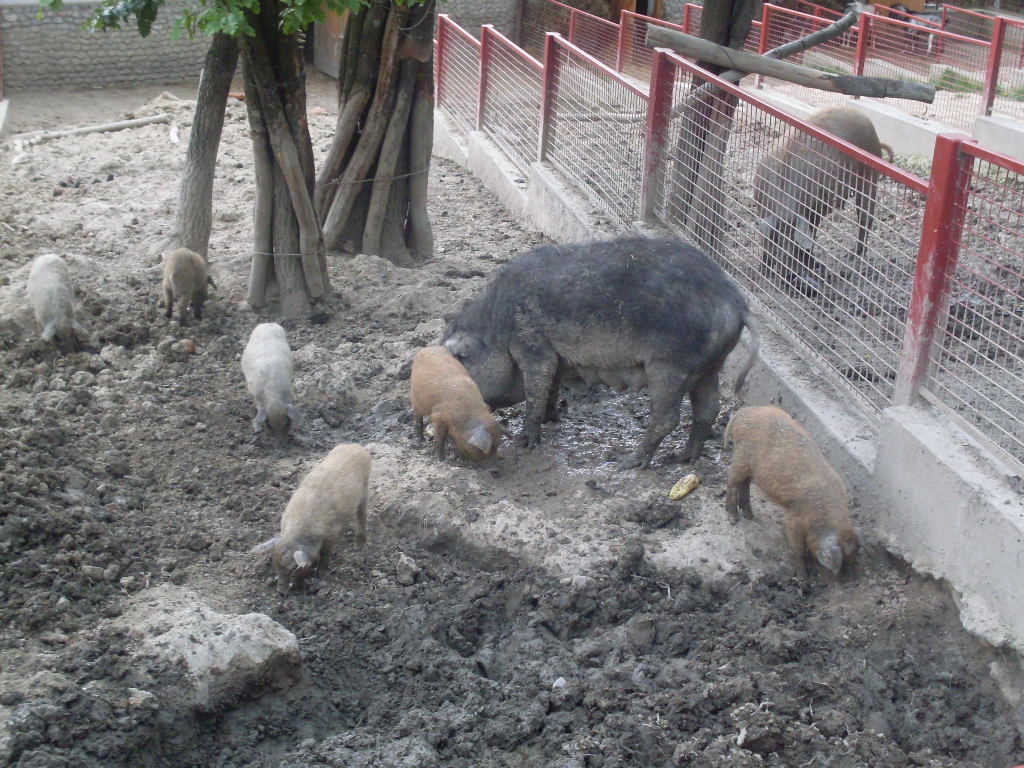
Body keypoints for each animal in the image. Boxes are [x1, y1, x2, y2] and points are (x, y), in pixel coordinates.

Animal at [251, 443, 371, 593]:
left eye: (293, 568)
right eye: (275, 564)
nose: (280, 592)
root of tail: (357, 446)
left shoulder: (331, 533)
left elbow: (325, 554)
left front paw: (320, 574)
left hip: (364, 490)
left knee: (361, 515)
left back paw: (358, 547)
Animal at [442, 237, 760, 469]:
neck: (496, 325)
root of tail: (736, 303)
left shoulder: (530, 341)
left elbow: (536, 389)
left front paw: (525, 443)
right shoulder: (556, 356)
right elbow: (551, 385)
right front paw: (552, 418)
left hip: (670, 364)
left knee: (667, 417)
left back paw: (628, 462)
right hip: (710, 366)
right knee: (708, 409)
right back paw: (684, 459)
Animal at [724, 405, 858, 579]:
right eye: (843, 563)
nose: (851, 579)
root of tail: (745, 411)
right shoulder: (794, 517)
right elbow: (797, 546)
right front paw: (802, 577)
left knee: (744, 483)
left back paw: (749, 516)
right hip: (741, 457)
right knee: (731, 478)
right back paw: (733, 519)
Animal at [754, 106, 889, 296]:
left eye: (796, 246)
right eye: (777, 242)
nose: (791, 277)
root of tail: (863, 116)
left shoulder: (816, 207)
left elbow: (813, 234)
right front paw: (762, 269)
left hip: (870, 175)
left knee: (865, 218)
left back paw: (852, 256)